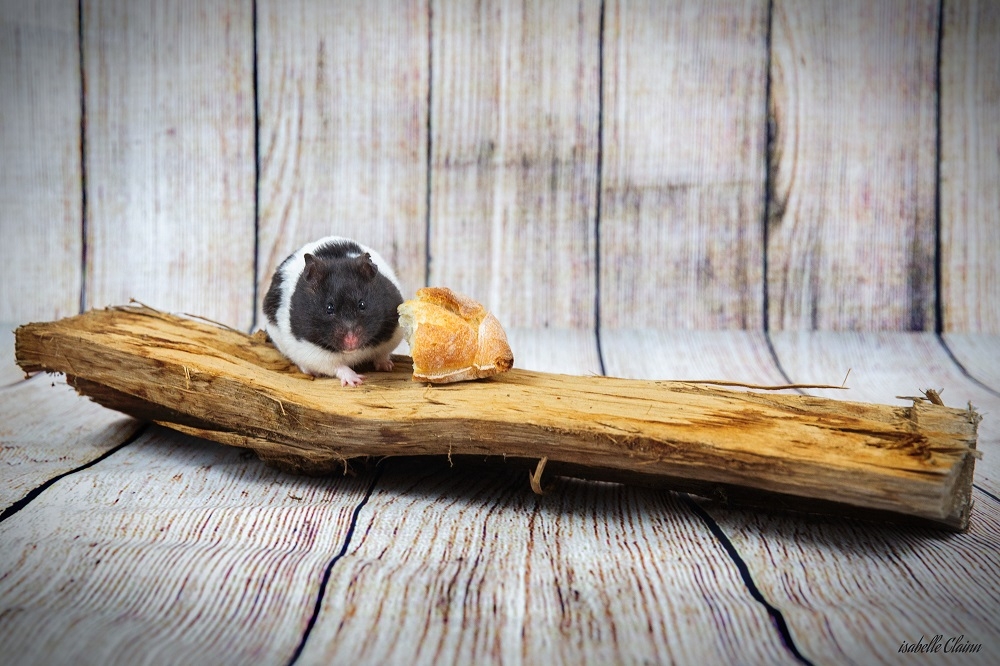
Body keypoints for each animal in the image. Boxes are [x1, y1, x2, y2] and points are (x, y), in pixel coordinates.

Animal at [263, 236, 404, 386]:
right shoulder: (311, 351)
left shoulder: (392, 334)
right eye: (329, 308)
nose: (351, 342)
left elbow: (382, 355)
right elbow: (338, 367)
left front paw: (387, 366)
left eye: (362, 304)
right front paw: (356, 381)